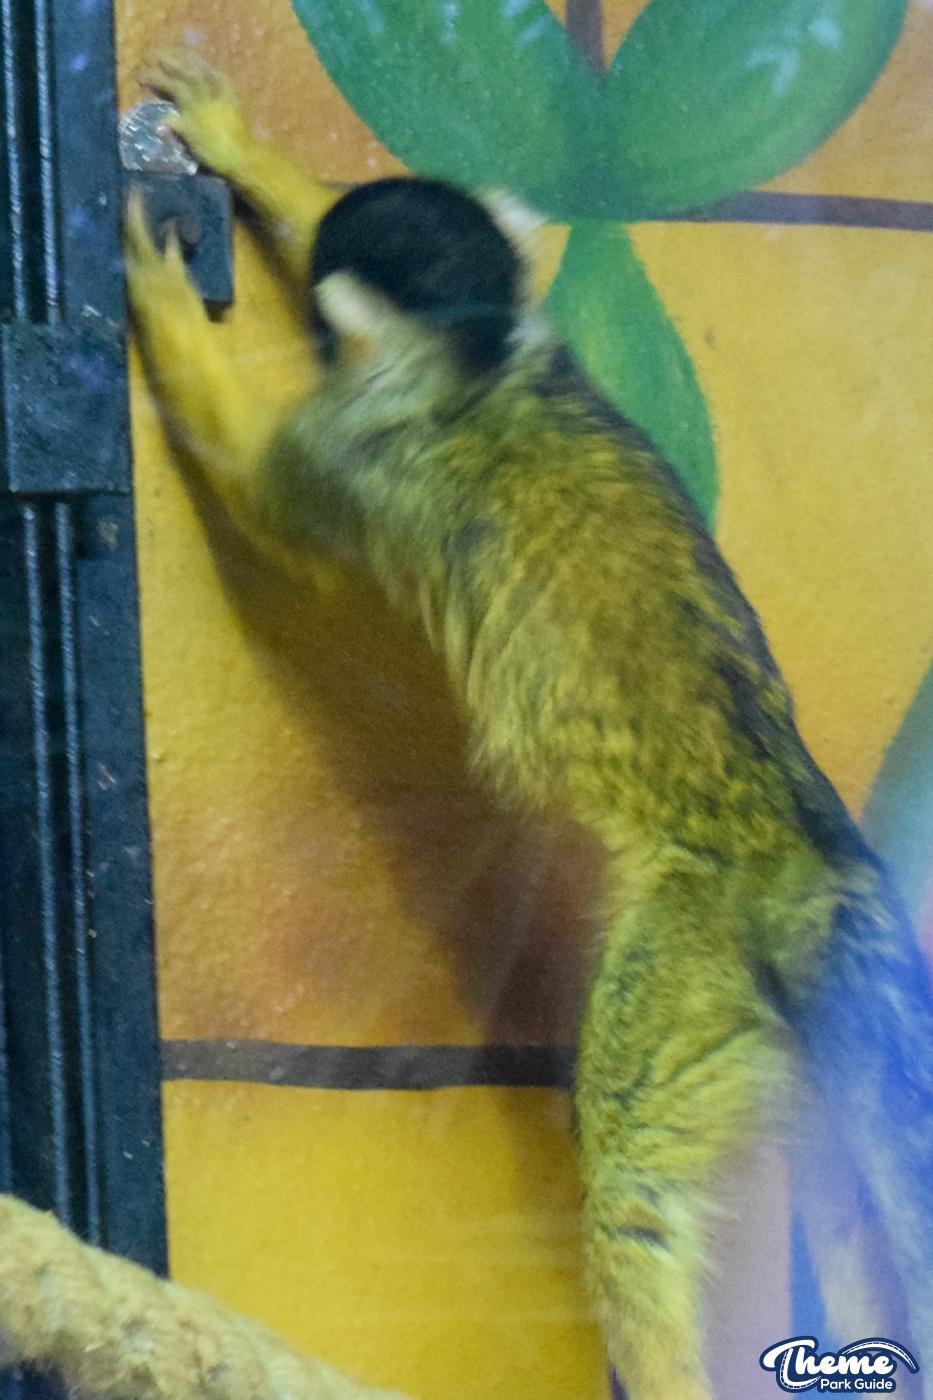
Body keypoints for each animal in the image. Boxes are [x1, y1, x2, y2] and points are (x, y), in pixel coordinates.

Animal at [125, 51, 933, 1400]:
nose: (326, 343)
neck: (480, 361)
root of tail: (797, 847)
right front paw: (251, 156)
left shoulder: (358, 448)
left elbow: (258, 487)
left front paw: (162, 304)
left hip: (692, 949)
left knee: (630, 1173)